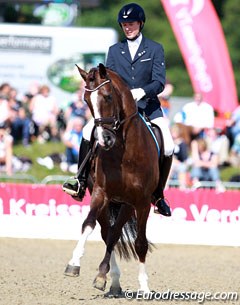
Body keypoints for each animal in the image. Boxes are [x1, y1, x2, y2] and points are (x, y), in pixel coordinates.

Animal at [64, 63, 160, 294]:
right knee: (108, 233)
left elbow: (140, 243)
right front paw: (74, 263)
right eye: (86, 101)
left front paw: (144, 286)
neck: (125, 152)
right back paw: (108, 278)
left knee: (115, 233)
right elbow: (88, 224)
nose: (104, 140)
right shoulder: (101, 193)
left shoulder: (142, 202)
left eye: (108, 97)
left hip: (128, 205)